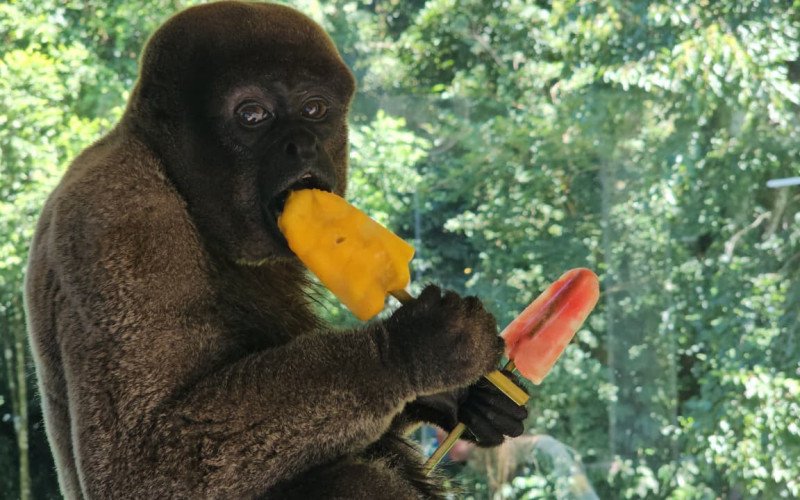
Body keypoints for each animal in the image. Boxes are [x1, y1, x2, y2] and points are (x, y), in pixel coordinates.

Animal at [24, 2, 527, 498]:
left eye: (314, 108)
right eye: (253, 115)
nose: (303, 143)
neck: (177, 180)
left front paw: (471, 398)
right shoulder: (121, 223)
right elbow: (139, 464)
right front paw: (413, 348)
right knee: (353, 478)